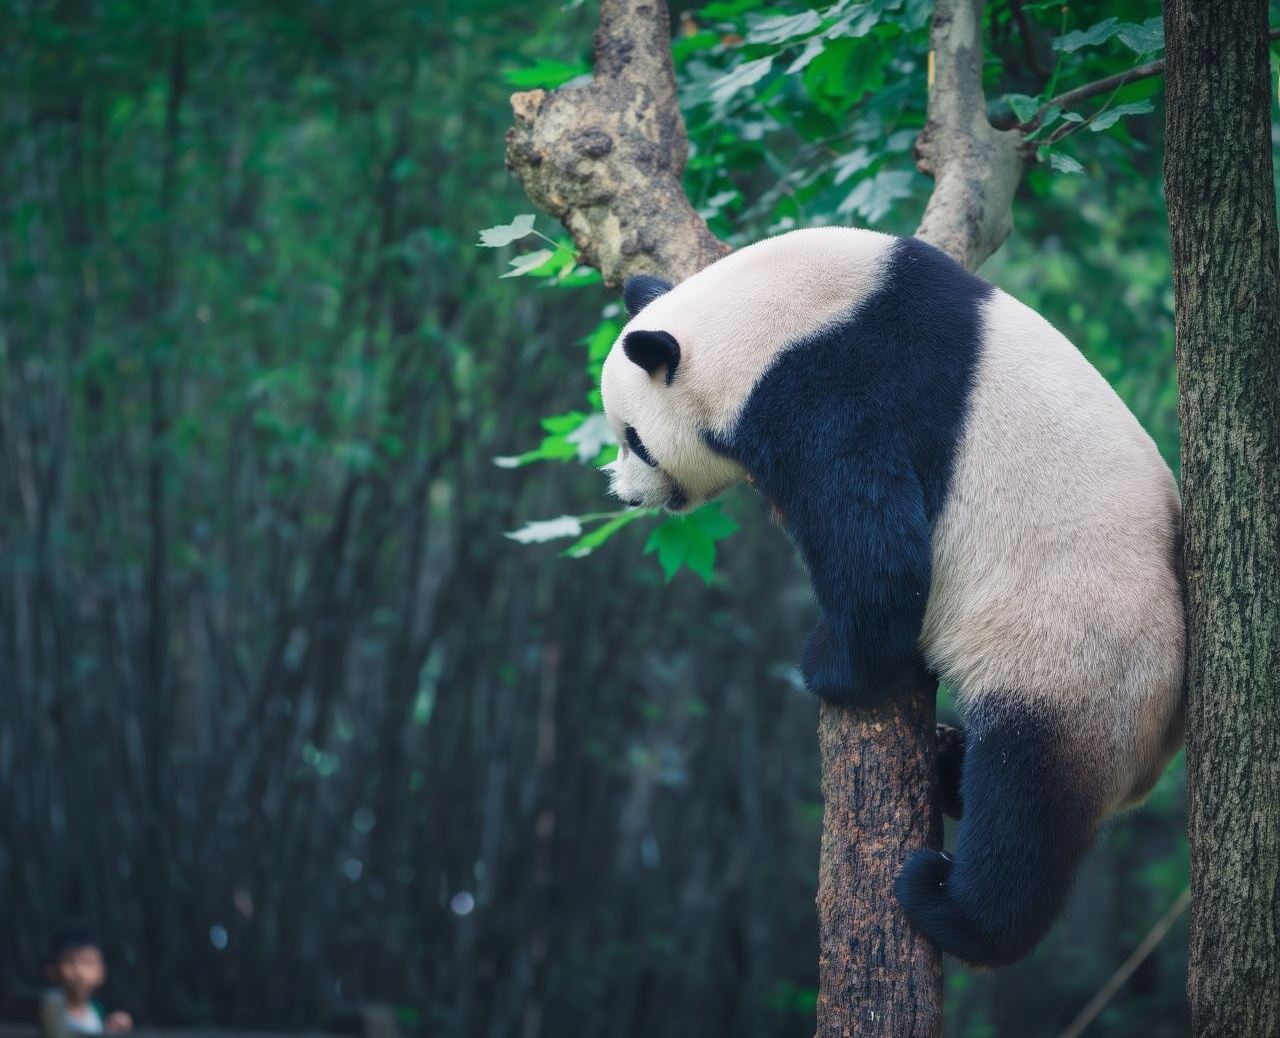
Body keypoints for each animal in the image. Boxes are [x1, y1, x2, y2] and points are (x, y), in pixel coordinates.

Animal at [598, 227, 1185, 967]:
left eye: (635, 439)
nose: (623, 494)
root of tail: (1156, 750)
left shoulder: (836, 388)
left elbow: (880, 550)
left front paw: (833, 666)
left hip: (1075, 664)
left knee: (1026, 805)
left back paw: (952, 906)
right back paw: (948, 763)